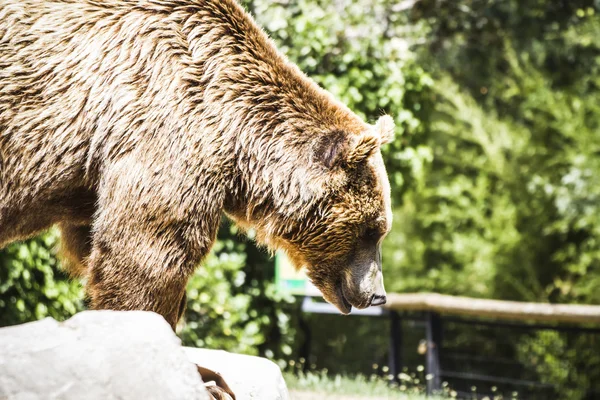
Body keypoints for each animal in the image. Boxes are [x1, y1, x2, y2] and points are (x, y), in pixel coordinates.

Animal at [0, 0, 394, 332]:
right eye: (370, 230)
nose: (378, 295)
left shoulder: (95, 181)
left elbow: (92, 245)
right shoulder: (163, 129)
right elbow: (146, 255)